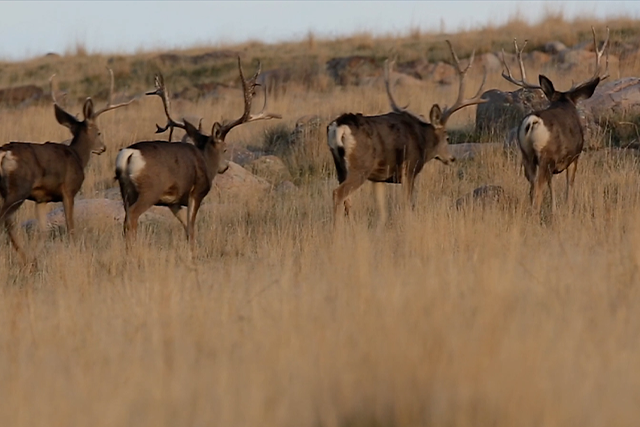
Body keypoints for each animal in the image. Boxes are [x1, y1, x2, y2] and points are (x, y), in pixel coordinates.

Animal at [0, 69, 134, 261]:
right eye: (99, 132)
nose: (103, 148)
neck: (77, 156)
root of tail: (5, 153)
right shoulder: (69, 190)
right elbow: (71, 226)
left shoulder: (41, 198)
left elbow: (43, 231)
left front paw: (38, 255)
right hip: (19, 188)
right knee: (5, 218)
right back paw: (23, 256)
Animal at [115, 57, 281, 249]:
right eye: (225, 148)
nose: (225, 167)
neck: (205, 160)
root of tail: (129, 155)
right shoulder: (197, 192)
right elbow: (192, 228)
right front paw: (193, 250)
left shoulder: (174, 202)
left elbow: (187, 227)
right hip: (150, 190)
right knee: (132, 217)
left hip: (126, 190)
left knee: (126, 218)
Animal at [326, 40, 487, 224]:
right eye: (447, 137)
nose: (452, 158)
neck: (422, 139)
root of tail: (339, 126)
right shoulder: (409, 169)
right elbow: (407, 204)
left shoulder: (379, 178)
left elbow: (382, 211)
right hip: (360, 166)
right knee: (338, 194)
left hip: (340, 167)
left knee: (347, 200)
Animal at [500, 27, 610, 215]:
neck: (564, 102)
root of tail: (532, 121)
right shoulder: (574, 156)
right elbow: (569, 184)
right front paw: (568, 207)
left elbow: (552, 186)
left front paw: (554, 208)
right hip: (546, 155)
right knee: (538, 188)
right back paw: (535, 214)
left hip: (526, 155)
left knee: (532, 186)